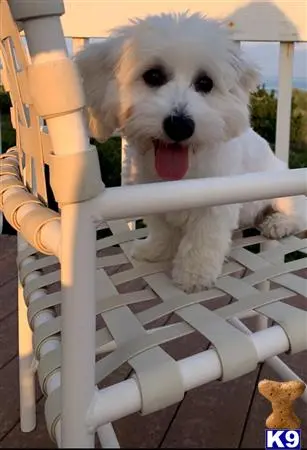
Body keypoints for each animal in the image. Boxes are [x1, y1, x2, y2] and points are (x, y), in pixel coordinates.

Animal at [76, 12, 306, 294]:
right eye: (153, 75)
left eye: (205, 83)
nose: (179, 125)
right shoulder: (151, 197)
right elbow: (162, 230)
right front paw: (155, 250)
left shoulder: (214, 207)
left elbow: (202, 241)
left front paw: (194, 276)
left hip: (283, 195)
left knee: (300, 214)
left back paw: (278, 223)